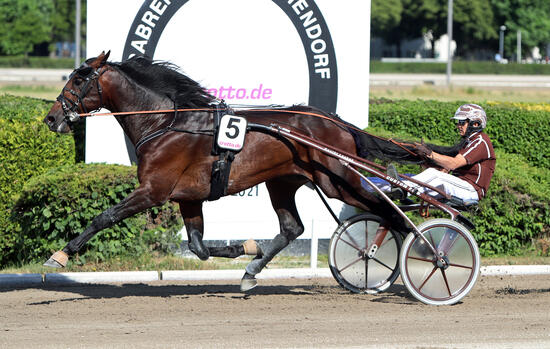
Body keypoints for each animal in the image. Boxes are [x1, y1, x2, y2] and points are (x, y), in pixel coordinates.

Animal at [43, 51, 420, 290]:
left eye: (77, 80)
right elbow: (198, 246)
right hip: (283, 181)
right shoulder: (188, 198)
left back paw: (422, 254)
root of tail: (338, 123)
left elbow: (104, 217)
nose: (50, 117)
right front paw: (248, 248)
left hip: (338, 181)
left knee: (390, 211)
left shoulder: (153, 190)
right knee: (292, 228)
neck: (165, 123)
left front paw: (59, 255)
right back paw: (251, 272)